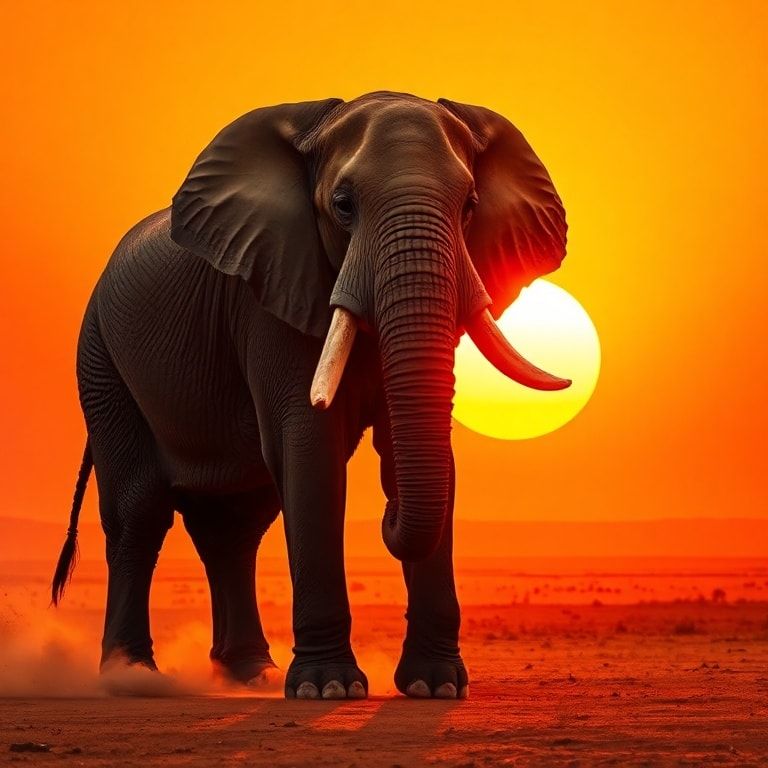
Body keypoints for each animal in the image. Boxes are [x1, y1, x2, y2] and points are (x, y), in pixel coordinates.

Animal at [51, 91, 569, 700]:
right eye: (343, 206)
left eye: (469, 207)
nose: (387, 516)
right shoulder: (267, 298)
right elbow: (309, 449)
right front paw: (329, 690)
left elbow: (421, 451)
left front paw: (434, 687)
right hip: (102, 362)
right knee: (139, 512)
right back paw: (132, 676)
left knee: (235, 525)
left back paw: (249, 674)